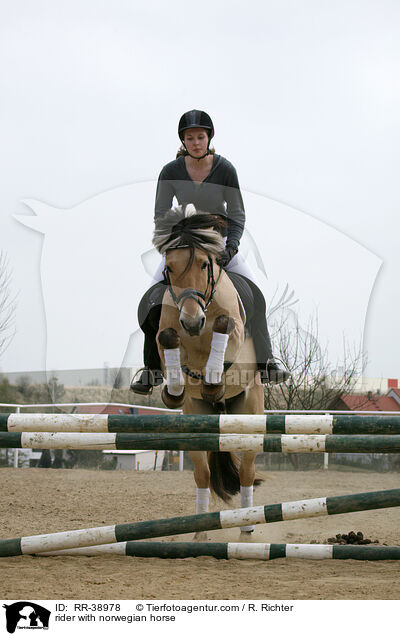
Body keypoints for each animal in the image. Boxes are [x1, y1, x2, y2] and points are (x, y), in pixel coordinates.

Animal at [154, 206, 266, 540]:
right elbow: (168, 340)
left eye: (205, 264)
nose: (192, 321)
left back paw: (246, 530)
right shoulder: (164, 338)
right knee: (202, 474)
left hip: (250, 415)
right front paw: (173, 390)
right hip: (197, 419)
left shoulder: (237, 338)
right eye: (169, 267)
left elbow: (225, 328)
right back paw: (200, 534)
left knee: (246, 472)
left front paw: (213, 381)